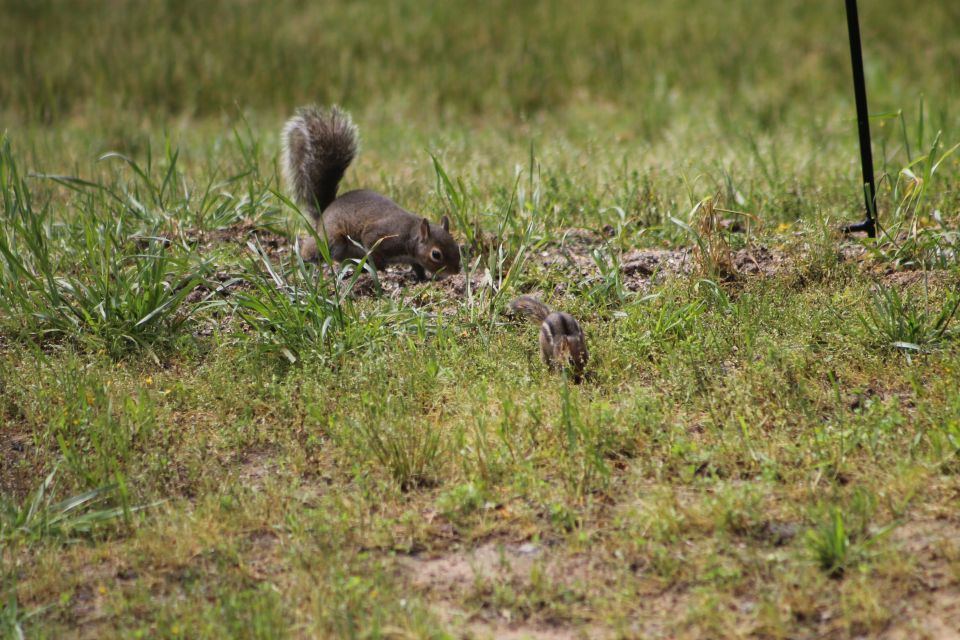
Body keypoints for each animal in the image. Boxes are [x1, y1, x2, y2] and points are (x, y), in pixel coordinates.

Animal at [281, 105, 461, 280]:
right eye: (436, 254)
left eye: (455, 245)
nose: (456, 271)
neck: (410, 234)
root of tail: (323, 212)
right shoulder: (379, 237)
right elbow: (375, 253)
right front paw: (380, 269)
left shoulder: (413, 259)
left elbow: (418, 267)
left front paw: (423, 278)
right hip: (333, 240)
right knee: (315, 248)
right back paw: (307, 258)